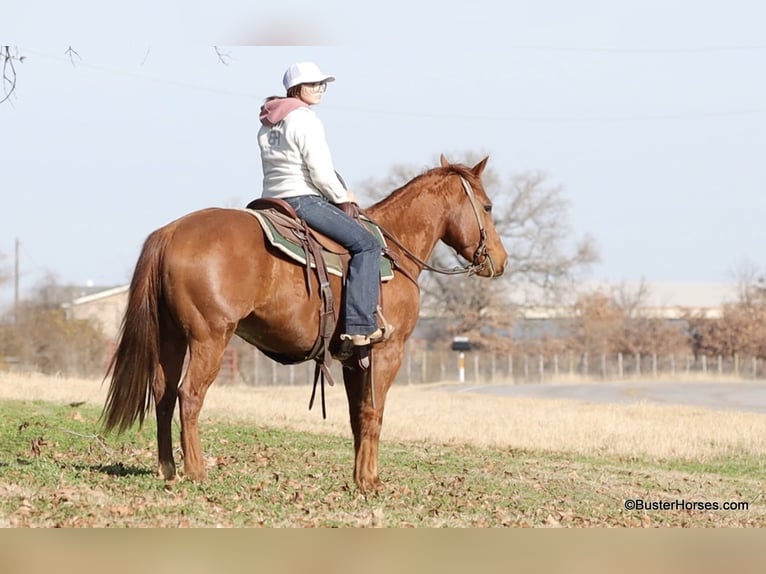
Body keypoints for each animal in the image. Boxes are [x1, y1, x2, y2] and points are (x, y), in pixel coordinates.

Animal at [101, 154, 508, 493]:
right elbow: (373, 413)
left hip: (172, 338)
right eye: (487, 206)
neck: (394, 251)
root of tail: (171, 232)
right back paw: (196, 471)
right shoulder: (387, 352)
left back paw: (168, 469)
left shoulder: (354, 358)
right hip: (209, 338)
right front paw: (370, 482)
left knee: (164, 394)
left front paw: (361, 477)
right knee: (189, 395)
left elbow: (356, 415)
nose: (500, 261)